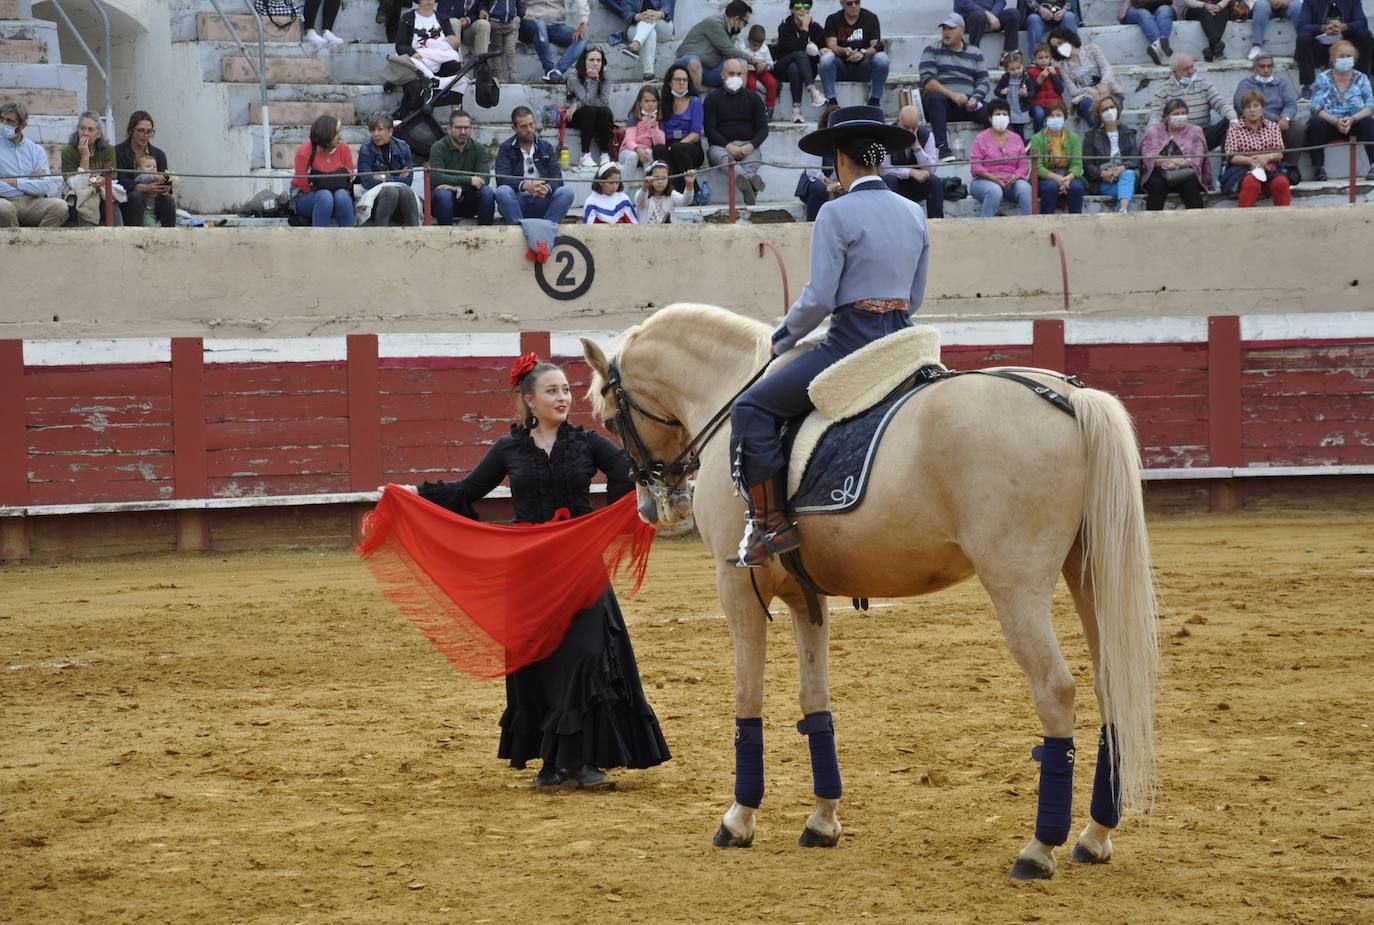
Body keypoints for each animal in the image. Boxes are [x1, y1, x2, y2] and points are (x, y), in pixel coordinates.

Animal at [579, 305, 1159, 879]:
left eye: (609, 417)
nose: (657, 507)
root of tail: (1068, 399)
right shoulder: (805, 598)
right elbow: (814, 701)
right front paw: (821, 820)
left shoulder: (738, 588)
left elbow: (748, 696)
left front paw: (739, 818)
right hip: (1087, 576)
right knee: (1110, 683)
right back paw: (1094, 836)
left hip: (1016, 587)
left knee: (1056, 692)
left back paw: (1039, 848)